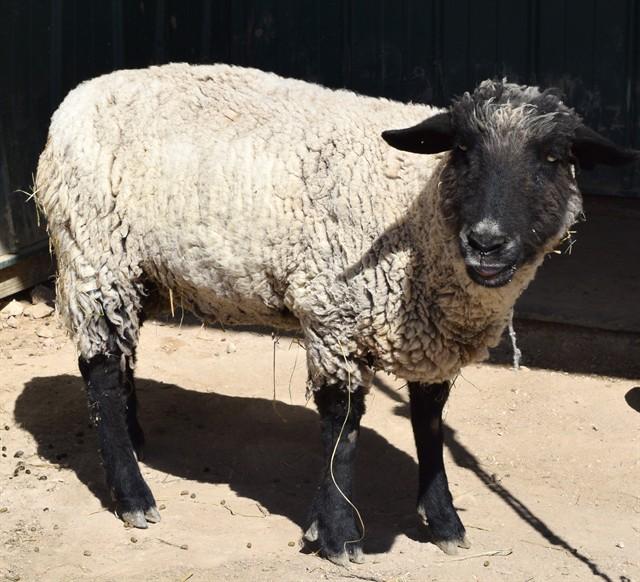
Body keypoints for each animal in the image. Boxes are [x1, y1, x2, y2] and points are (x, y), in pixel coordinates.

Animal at [35, 63, 638, 565]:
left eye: (554, 158)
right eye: (462, 150)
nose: (486, 243)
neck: (418, 217)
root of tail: (80, 93)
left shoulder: (428, 336)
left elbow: (429, 423)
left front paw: (443, 521)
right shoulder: (334, 317)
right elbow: (341, 427)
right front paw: (338, 533)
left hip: (136, 270)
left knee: (122, 356)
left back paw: (134, 436)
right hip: (94, 255)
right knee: (99, 370)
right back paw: (132, 492)